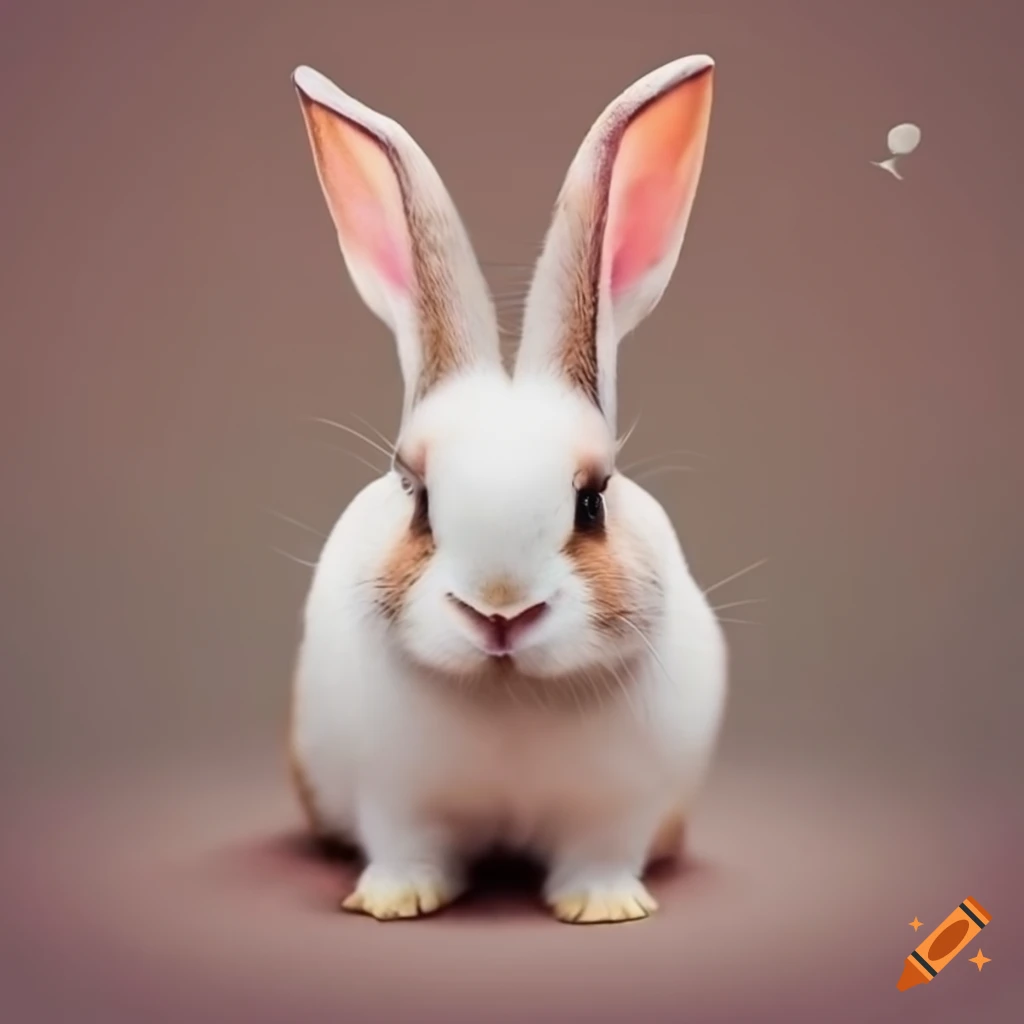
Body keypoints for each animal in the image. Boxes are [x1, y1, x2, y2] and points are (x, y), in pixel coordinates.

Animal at [287, 54, 727, 925]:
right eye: (419, 498)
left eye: (592, 502)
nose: (500, 613)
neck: (511, 700)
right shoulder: (398, 800)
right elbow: (406, 846)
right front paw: (394, 901)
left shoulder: (616, 809)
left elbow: (601, 856)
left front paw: (605, 908)